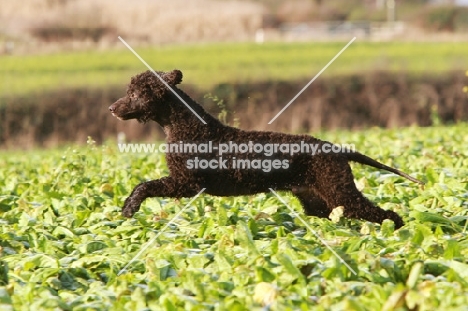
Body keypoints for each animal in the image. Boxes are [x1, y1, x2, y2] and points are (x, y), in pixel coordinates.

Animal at [109, 69, 424, 228]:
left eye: (135, 93)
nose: (111, 108)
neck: (186, 126)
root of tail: (335, 148)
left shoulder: (186, 183)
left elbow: (144, 186)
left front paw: (129, 208)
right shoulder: (183, 184)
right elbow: (141, 185)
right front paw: (125, 209)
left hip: (339, 191)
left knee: (385, 213)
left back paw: (397, 232)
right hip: (317, 201)